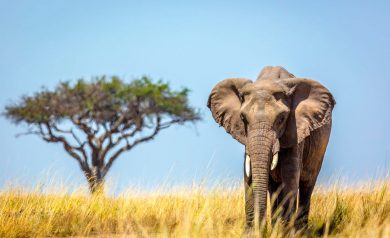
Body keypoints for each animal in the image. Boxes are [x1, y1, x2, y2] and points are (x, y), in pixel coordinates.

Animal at [207, 66, 336, 231]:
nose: (261, 228)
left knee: (307, 184)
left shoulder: (295, 131)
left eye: (281, 119)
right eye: (243, 118)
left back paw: (300, 230)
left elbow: (290, 176)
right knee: (274, 189)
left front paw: (285, 232)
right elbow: (249, 175)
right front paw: (253, 233)